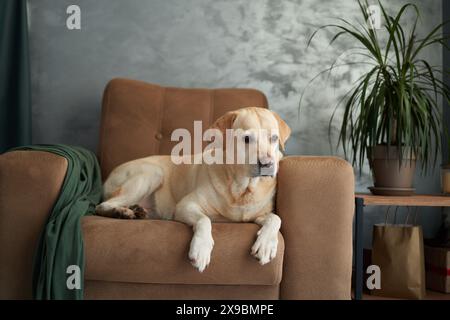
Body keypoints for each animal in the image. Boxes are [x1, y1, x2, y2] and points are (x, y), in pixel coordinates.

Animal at [96, 107, 292, 270]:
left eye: (274, 138)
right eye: (246, 139)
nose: (267, 164)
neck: (242, 188)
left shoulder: (260, 213)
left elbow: (276, 218)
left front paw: (266, 244)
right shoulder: (185, 205)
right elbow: (204, 220)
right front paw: (201, 248)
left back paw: (136, 210)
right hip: (152, 173)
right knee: (101, 205)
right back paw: (121, 212)